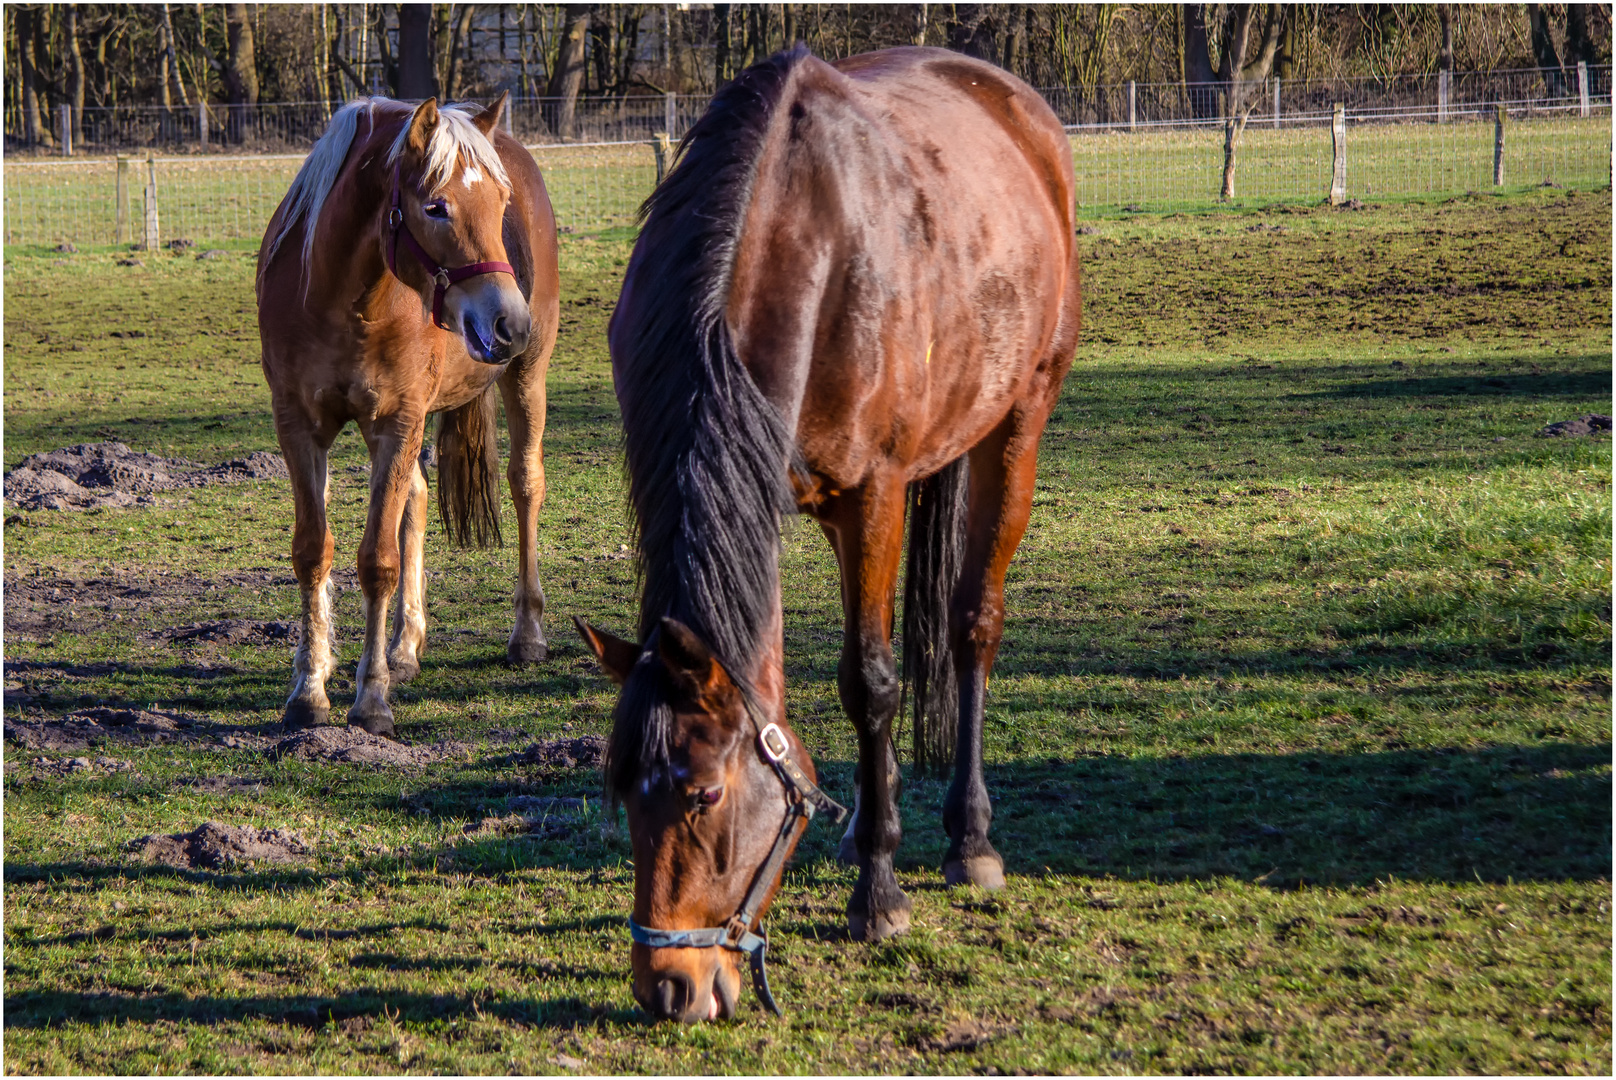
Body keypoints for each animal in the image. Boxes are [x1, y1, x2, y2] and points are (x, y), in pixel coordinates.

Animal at [252, 94, 555, 734]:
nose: (509, 323)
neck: (345, 299)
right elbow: (313, 549)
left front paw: (370, 700)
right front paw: (309, 688)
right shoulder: (299, 426)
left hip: (525, 378)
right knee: (415, 497)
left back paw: (527, 634)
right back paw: (405, 646)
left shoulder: (397, 422)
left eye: (500, 203)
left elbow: (378, 562)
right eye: (435, 206)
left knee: (525, 485)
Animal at [575, 44, 1079, 1021]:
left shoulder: (872, 494)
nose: (671, 989)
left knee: (972, 626)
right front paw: (865, 842)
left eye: (704, 794)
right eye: (622, 796)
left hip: (1017, 424)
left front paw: (879, 894)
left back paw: (968, 840)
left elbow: (871, 683)